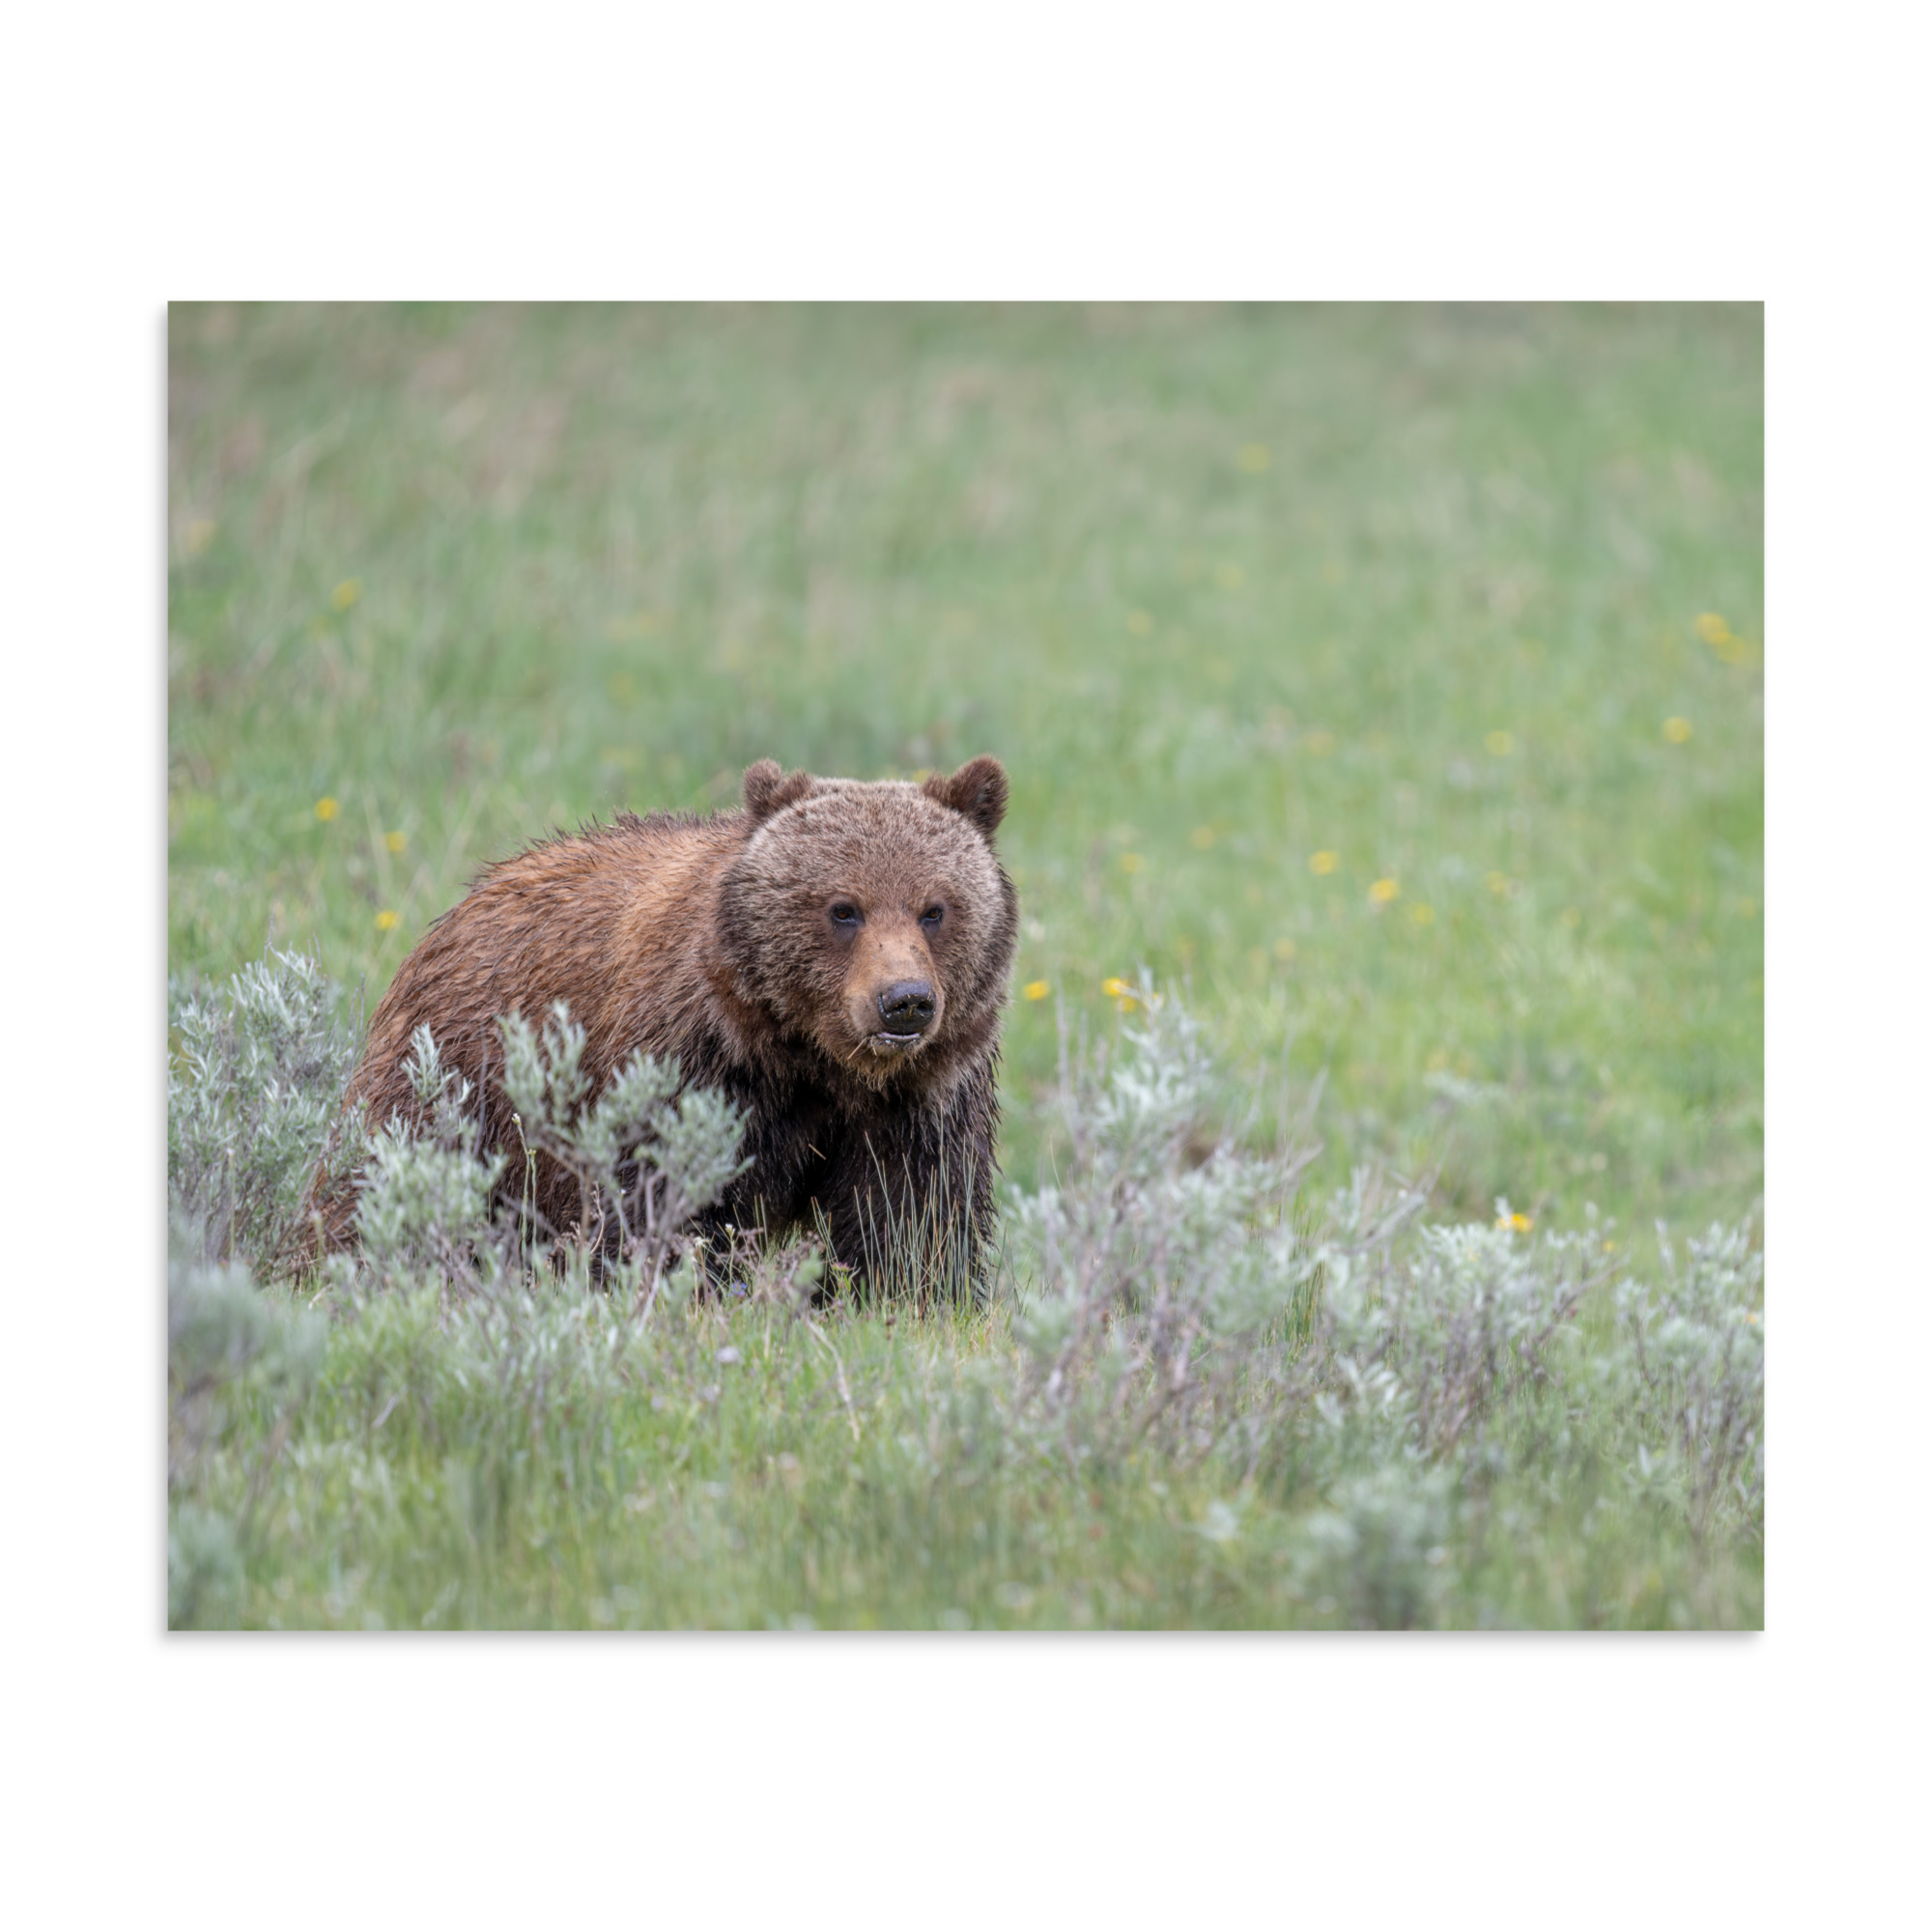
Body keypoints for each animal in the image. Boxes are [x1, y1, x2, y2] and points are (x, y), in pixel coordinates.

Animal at [304, 755, 1018, 1292]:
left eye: (935, 908)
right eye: (843, 908)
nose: (904, 1000)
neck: (813, 1059)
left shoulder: (921, 1098)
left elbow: (910, 1219)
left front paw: (903, 1296)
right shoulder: (693, 1065)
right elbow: (660, 1201)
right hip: (456, 1078)